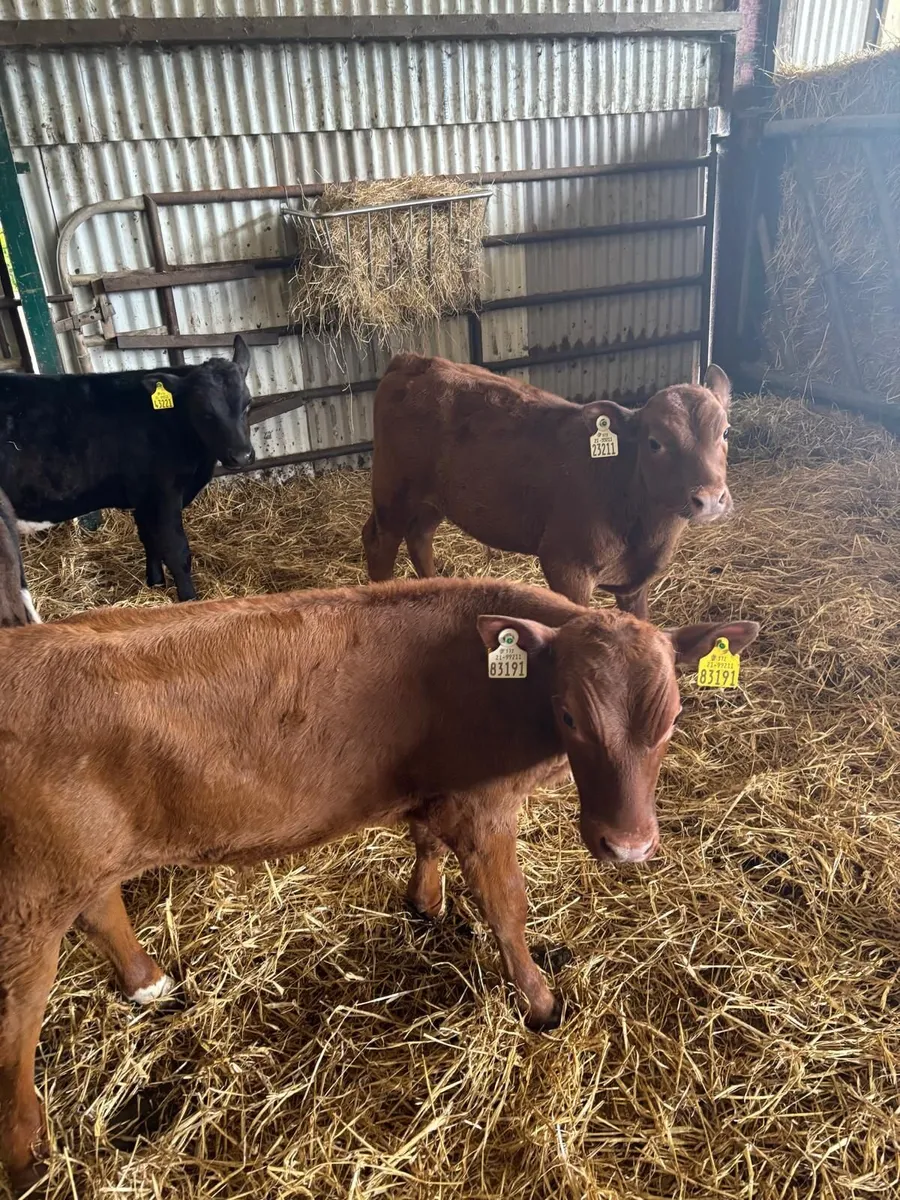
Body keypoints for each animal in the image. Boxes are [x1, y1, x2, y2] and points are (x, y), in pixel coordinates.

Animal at [0, 336, 255, 603]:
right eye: (203, 412)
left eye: (248, 404)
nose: (241, 456)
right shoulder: (164, 494)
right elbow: (176, 551)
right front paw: (188, 598)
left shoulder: (144, 498)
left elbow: (149, 539)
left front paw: (155, 583)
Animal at [0, 575, 759, 1190]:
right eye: (570, 715)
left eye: (673, 718)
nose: (627, 847)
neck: (501, 687)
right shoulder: (483, 805)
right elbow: (507, 909)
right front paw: (541, 1004)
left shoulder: (435, 791)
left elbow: (424, 844)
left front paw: (426, 904)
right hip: (28, 898)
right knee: (19, 1017)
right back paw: (28, 1154)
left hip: (78, 864)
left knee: (101, 908)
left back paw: (148, 983)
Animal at [363, 356, 734, 619]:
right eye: (655, 443)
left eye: (725, 432)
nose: (709, 498)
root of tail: (414, 361)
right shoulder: (566, 565)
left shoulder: (634, 584)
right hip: (393, 490)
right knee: (381, 540)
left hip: (433, 499)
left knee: (419, 537)